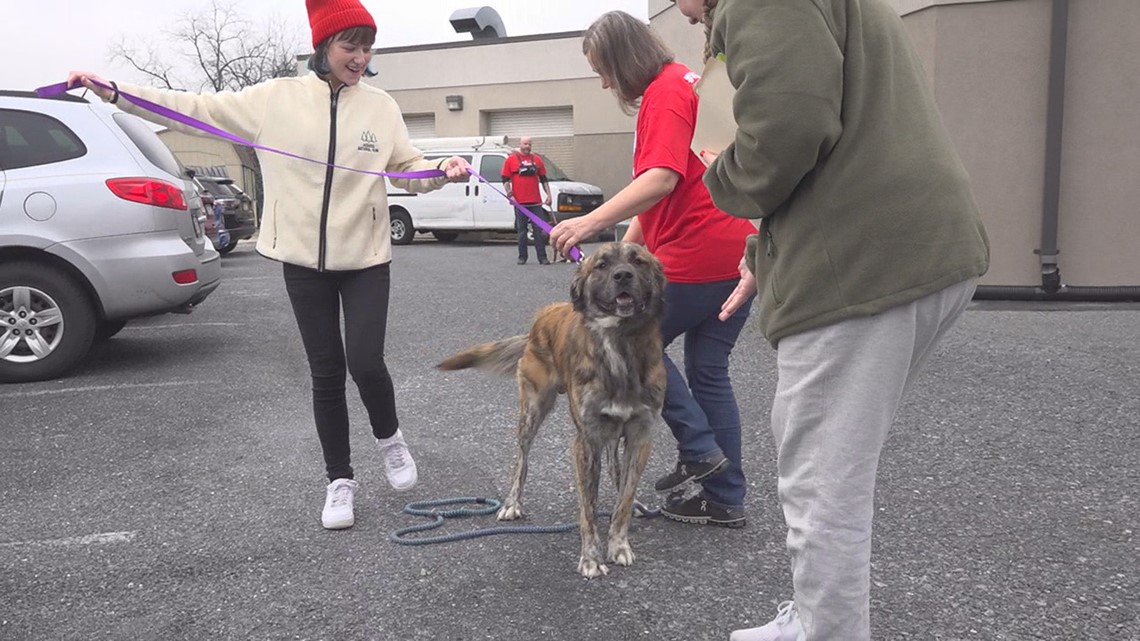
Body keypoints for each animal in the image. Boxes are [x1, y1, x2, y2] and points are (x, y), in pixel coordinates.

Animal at [435, 241, 665, 577]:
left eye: (638, 262)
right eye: (602, 265)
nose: (623, 276)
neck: (620, 346)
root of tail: (545, 313)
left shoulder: (640, 437)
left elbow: (624, 498)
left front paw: (619, 544)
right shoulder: (585, 443)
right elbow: (588, 509)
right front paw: (591, 557)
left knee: (616, 468)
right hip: (532, 410)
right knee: (521, 460)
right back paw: (511, 504)